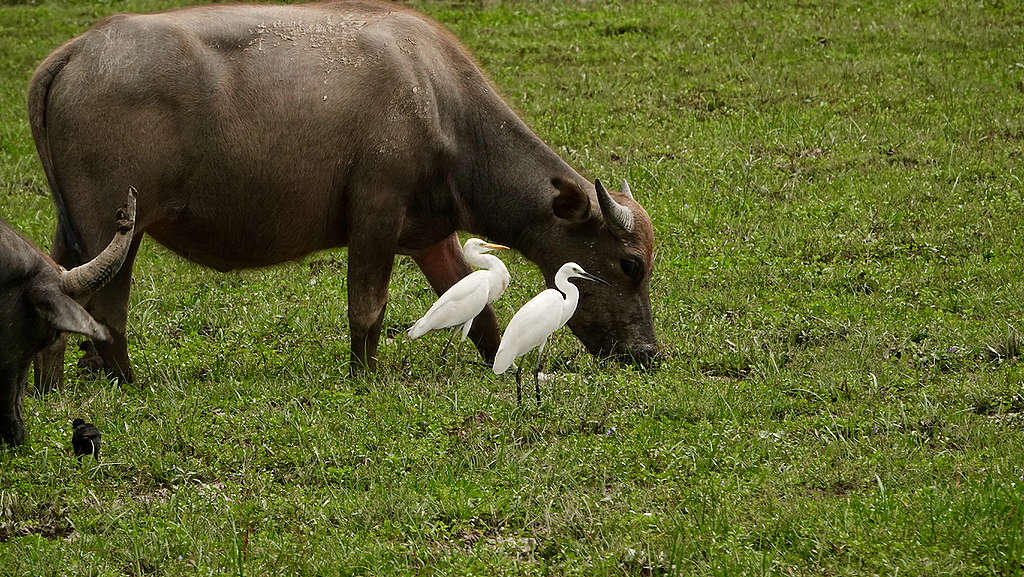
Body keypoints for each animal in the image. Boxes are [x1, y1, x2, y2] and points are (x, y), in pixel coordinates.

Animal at [28, 1, 659, 387]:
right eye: (630, 264)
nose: (648, 354)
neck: (438, 104)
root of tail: (74, 52)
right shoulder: (375, 216)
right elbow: (368, 306)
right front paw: (364, 377)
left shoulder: (431, 237)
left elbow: (477, 309)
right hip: (117, 229)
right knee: (107, 309)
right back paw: (125, 381)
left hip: (76, 229)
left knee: (58, 290)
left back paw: (48, 386)